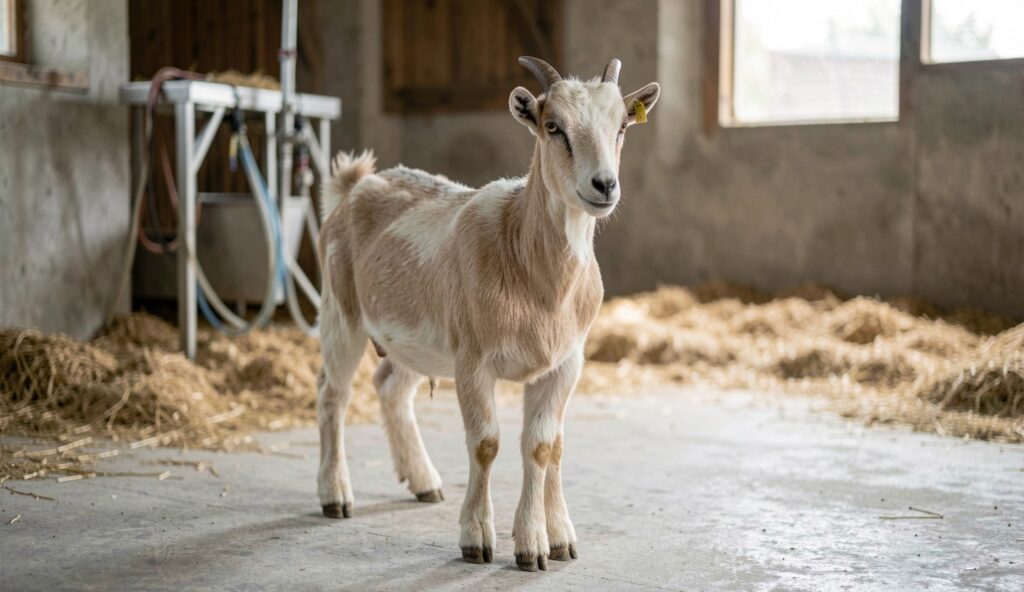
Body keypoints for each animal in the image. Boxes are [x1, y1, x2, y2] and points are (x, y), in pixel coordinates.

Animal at [316, 56, 660, 571]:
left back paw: (423, 481)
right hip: (342, 310)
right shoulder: (473, 360)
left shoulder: (566, 362)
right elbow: (486, 443)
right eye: (553, 126)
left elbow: (546, 445)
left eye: (622, 126)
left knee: (390, 387)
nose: (604, 185)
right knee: (333, 393)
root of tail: (356, 183)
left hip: (416, 338)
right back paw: (335, 494)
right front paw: (479, 538)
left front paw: (551, 540)